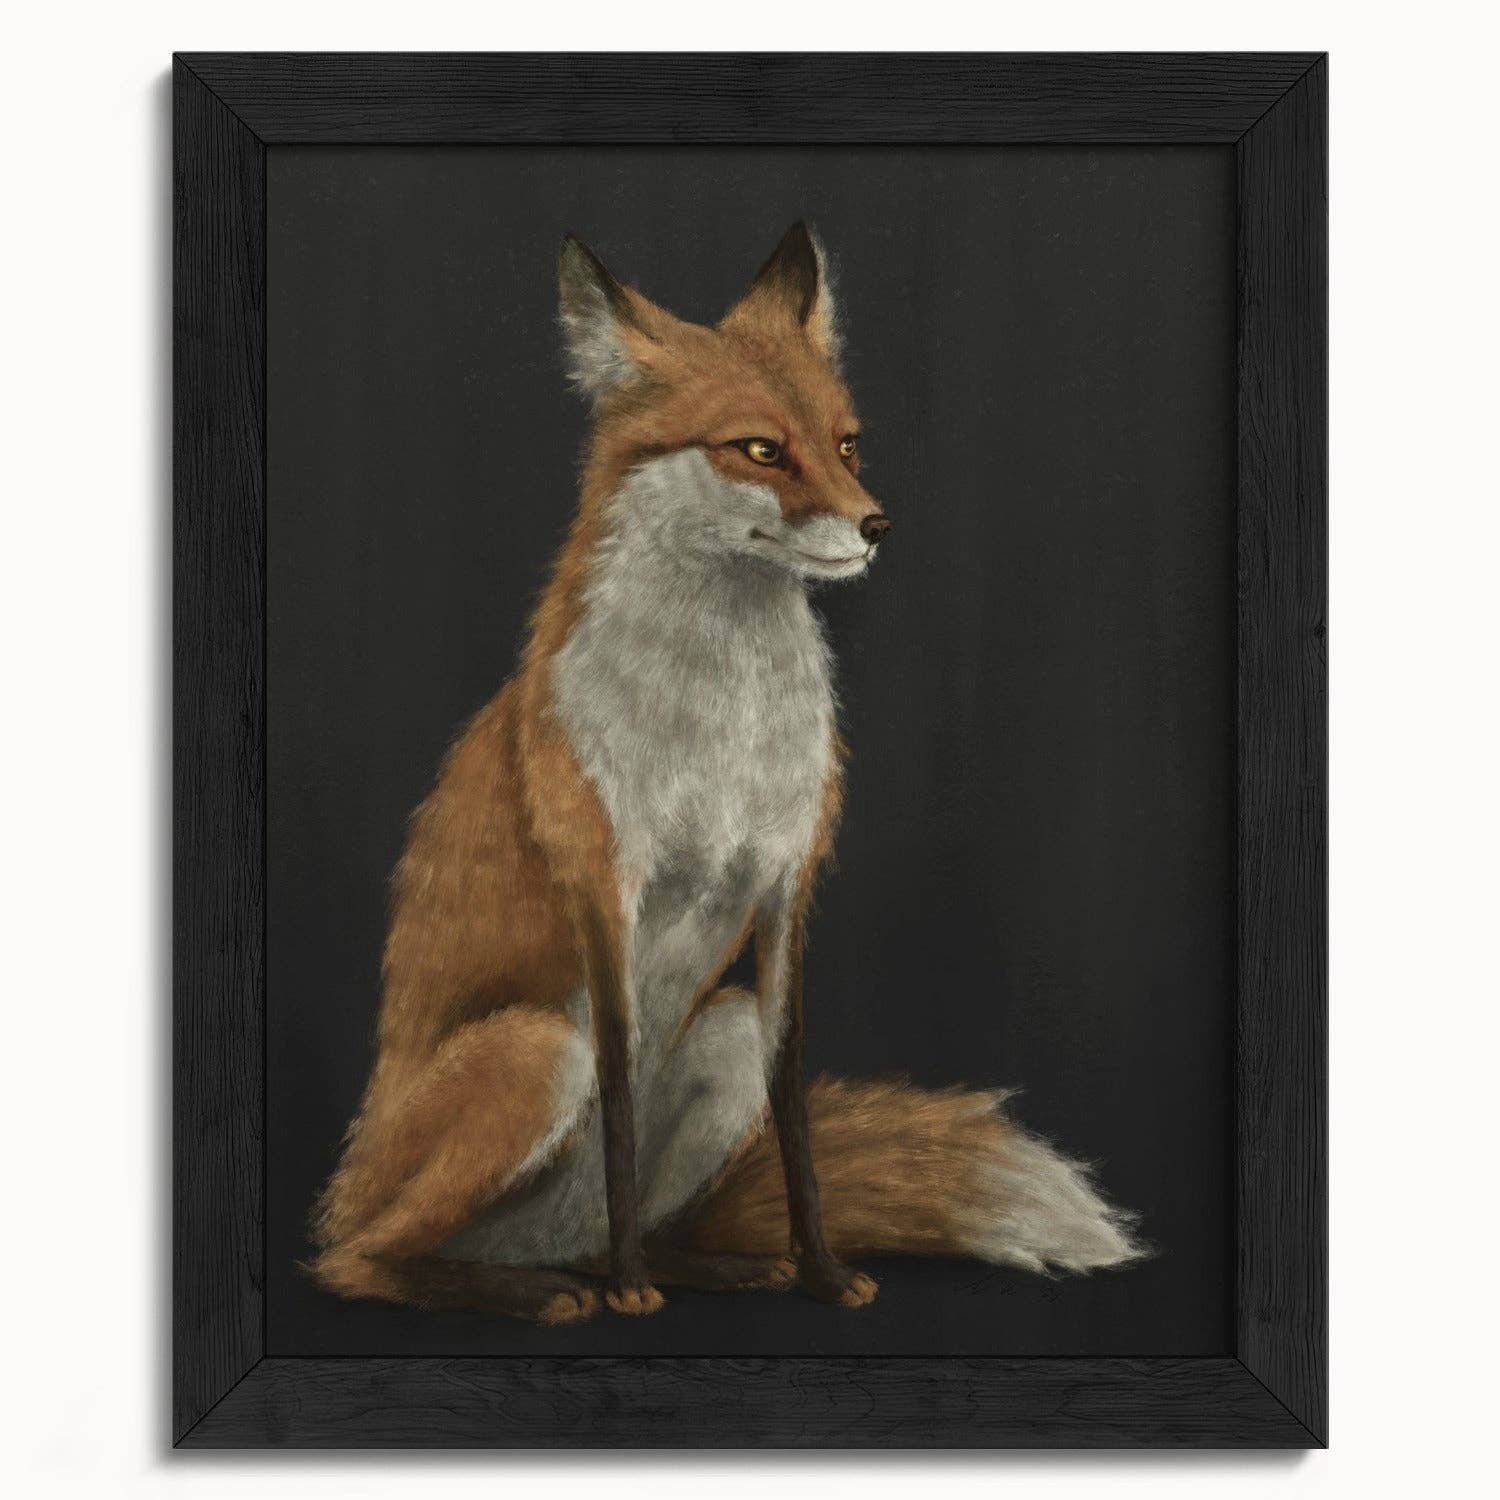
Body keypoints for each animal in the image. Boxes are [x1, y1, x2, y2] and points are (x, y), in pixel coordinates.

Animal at [310, 224, 1143, 1324]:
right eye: (758, 449)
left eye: (847, 444)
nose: (877, 525)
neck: (724, 730)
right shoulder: (606, 889)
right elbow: (620, 1100)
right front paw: (633, 1293)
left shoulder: (787, 887)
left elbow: (794, 1115)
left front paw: (820, 1272)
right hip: (535, 1051)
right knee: (360, 1259)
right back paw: (543, 1289)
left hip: (722, 1033)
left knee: (613, 1225)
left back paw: (700, 1266)